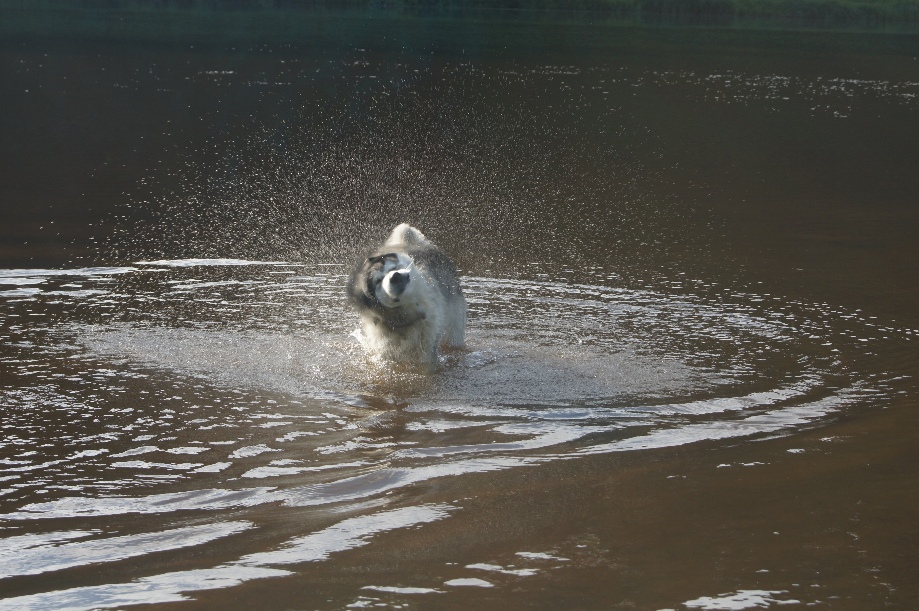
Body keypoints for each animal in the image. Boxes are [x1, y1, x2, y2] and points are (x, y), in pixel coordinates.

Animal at [350, 225, 470, 368]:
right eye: (378, 281)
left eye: (393, 268)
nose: (395, 276)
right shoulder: (385, 349)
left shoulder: (428, 343)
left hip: (454, 327)